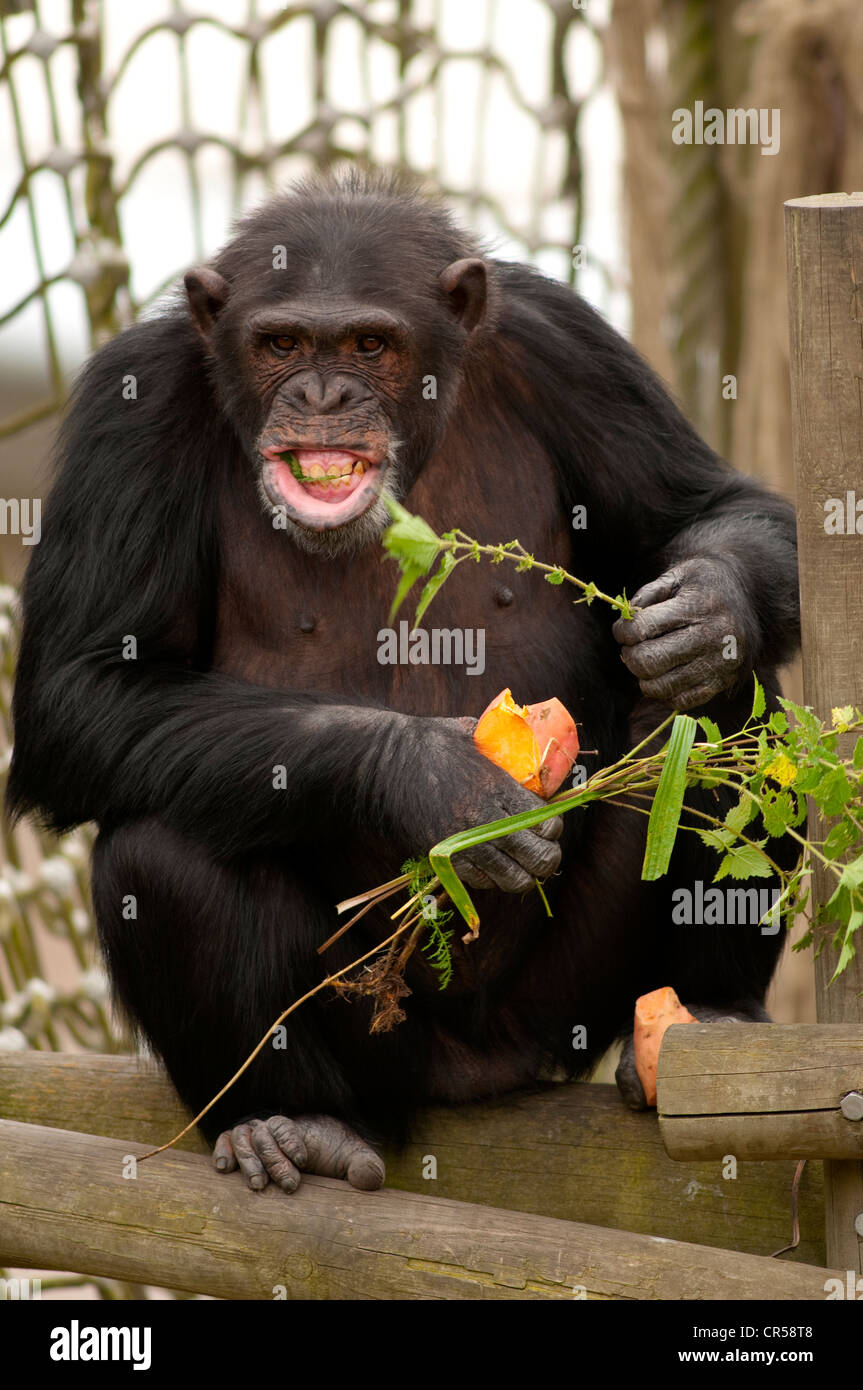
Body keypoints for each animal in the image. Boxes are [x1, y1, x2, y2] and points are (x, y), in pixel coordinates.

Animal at [8, 170, 800, 1195]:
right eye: (280, 344)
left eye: (370, 344)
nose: (322, 392)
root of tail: (481, 1069)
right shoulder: (128, 408)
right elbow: (83, 686)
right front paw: (434, 783)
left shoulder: (571, 348)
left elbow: (711, 507)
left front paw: (707, 610)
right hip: (387, 1051)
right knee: (156, 850)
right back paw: (292, 1124)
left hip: (564, 1007)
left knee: (734, 717)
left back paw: (715, 1012)